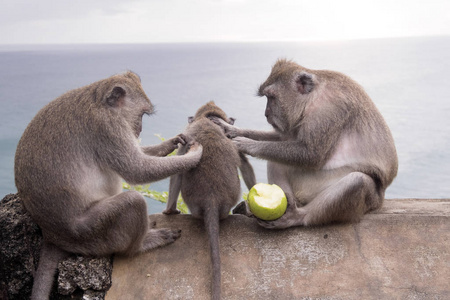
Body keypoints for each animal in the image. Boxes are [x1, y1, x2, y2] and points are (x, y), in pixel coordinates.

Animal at [14, 71, 204, 300]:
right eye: (141, 114)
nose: (138, 130)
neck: (100, 102)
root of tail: (53, 236)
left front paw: (172, 142)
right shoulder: (108, 128)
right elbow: (137, 169)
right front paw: (194, 156)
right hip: (90, 232)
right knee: (132, 202)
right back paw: (143, 243)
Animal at [214, 59, 398, 229]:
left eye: (271, 97)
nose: (266, 113)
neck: (313, 96)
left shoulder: (329, 109)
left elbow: (311, 155)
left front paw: (246, 144)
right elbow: (286, 138)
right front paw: (232, 129)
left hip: (359, 197)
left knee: (357, 181)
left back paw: (295, 217)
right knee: (276, 161)